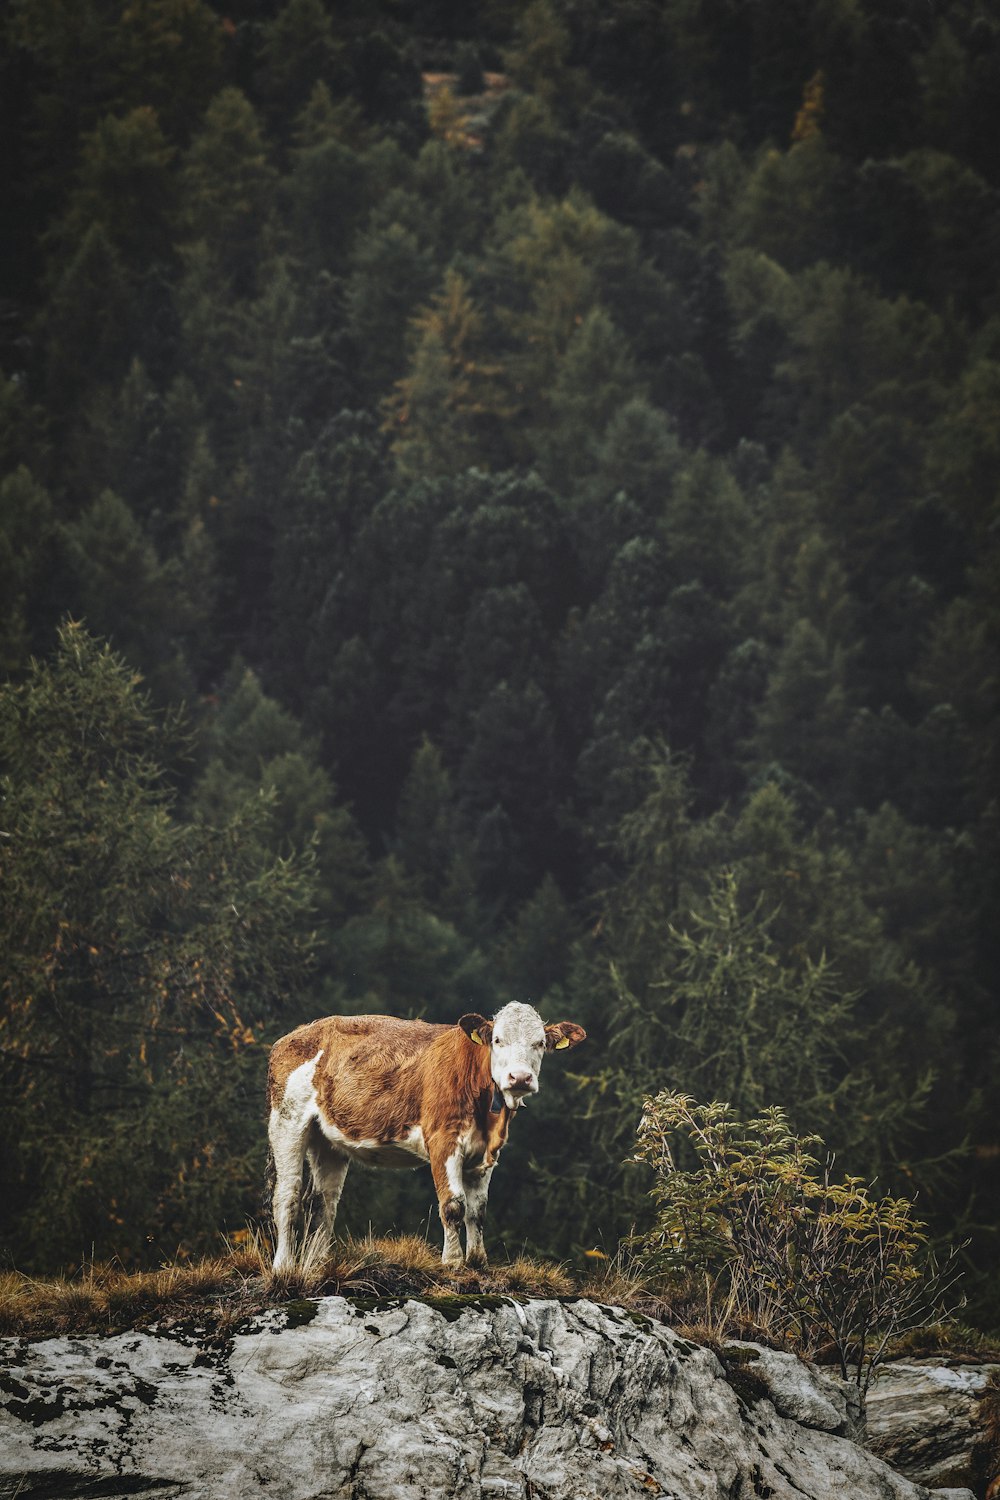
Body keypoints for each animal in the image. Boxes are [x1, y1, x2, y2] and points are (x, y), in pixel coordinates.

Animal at [268, 1002, 587, 1272]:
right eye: (498, 1040)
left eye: (540, 1043)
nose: (520, 1077)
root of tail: (298, 1033)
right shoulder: (443, 1140)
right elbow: (454, 1205)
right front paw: (453, 1261)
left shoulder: (487, 1153)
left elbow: (478, 1210)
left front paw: (477, 1261)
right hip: (287, 1120)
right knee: (288, 1195)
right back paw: (283, 1267)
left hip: (328, 1141)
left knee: (323, 1202)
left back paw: (316, 1264)